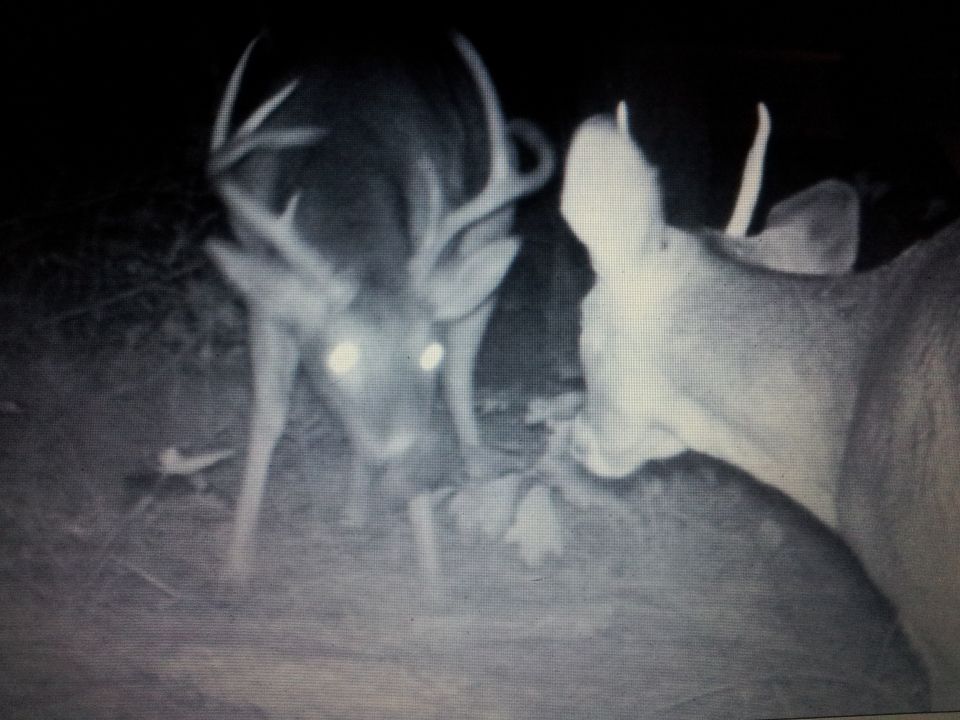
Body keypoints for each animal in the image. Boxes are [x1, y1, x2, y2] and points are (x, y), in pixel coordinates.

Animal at [205, 34, 554, 582]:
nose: (425, 462)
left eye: (428, 352)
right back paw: (356, 509)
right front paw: (235, 564)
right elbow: (268, 417)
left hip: (490, 231)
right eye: (340, 357)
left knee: (460, 382)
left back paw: (475, 476)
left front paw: (433, 578)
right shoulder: (264, 291)